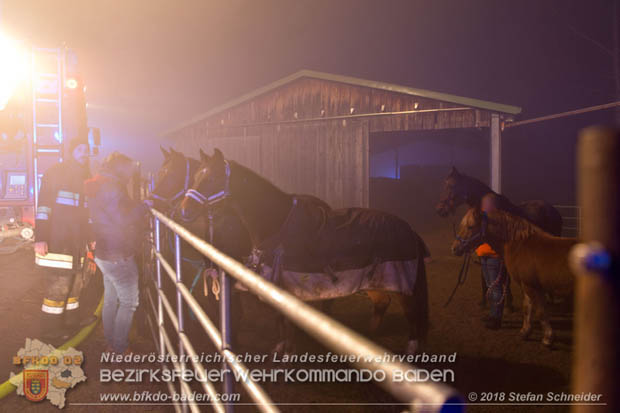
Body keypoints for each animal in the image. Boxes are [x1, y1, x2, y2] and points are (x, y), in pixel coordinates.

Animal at [450, 208, 576, 346]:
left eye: (470, 226)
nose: (454, 248)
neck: (520, 245)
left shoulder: (532, 287)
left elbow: (540, 311)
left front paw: (548, 338)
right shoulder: (526, 285)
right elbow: (527, 308)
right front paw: (525, 332)